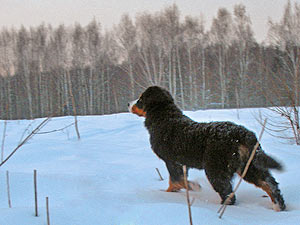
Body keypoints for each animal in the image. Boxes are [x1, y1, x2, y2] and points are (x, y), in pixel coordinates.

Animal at [127, 85, 286, 211]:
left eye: (140, 100)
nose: (128, 103)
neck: (165, 118)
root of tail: (242, 133)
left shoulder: (172, 161)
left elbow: (177, 180)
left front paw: (192, 187)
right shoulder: (181, 163)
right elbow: (175, 181)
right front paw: (170, 192)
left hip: (215, 169)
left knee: (228, 193)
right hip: (248, 165)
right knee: (269, 183)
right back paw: (278, 206)